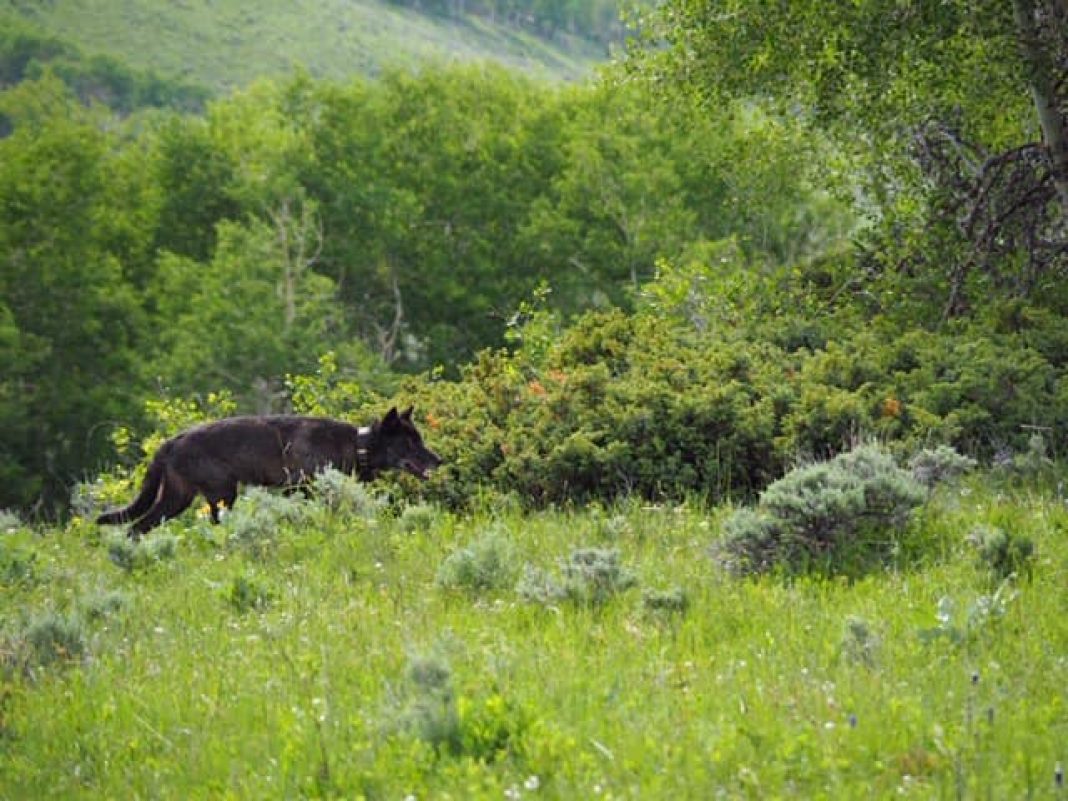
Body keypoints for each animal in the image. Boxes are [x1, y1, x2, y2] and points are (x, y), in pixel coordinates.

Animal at [95, 407, 437, 540]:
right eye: (410, 443)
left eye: (419, 439)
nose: (440, 460)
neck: (357, 444)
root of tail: (171, 441)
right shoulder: (297, 490)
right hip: (221, 495)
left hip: (177, 499)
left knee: (136, 528)